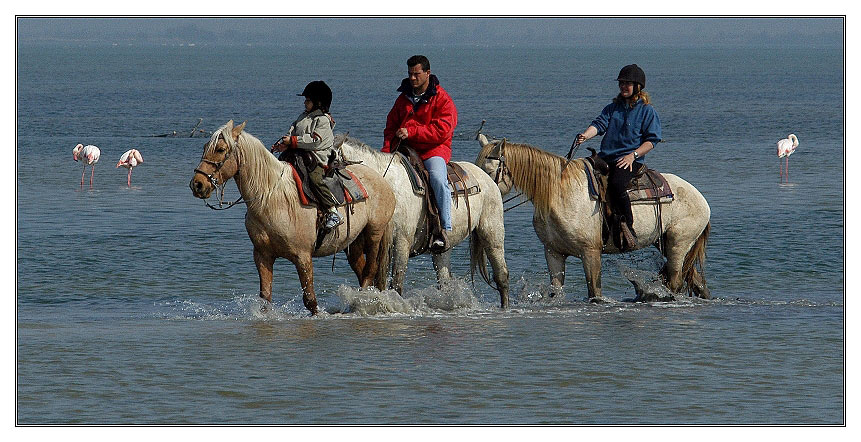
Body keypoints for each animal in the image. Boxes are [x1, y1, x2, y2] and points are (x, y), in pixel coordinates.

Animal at [190, 121, 394, 314]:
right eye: (205, 147)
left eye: (220, 149)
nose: (197, 184)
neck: (271, 198)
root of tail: (382, 180)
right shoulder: (262, 256)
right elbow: (265, 297)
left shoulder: (303, 257)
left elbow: (310, 299)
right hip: (354, 243)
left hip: (374, 233)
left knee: (370, 271)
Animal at [336, 135, 510, 308]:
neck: (388, 187)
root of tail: (486, 178)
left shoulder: (401, 242)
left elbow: (396, 283)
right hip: (443, 249)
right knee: (444, 280)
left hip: (491, 233)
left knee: (501, 274)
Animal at [474, 133, 708, 302]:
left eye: (490, 170)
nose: (483, 193)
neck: (559, 192)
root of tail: (700, 198)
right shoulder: (553, 252)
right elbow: (556, 290)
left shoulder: (590, 252)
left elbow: (594, 292)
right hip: (666, 243)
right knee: (695, 279)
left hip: (678, 244)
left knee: (676, 280)